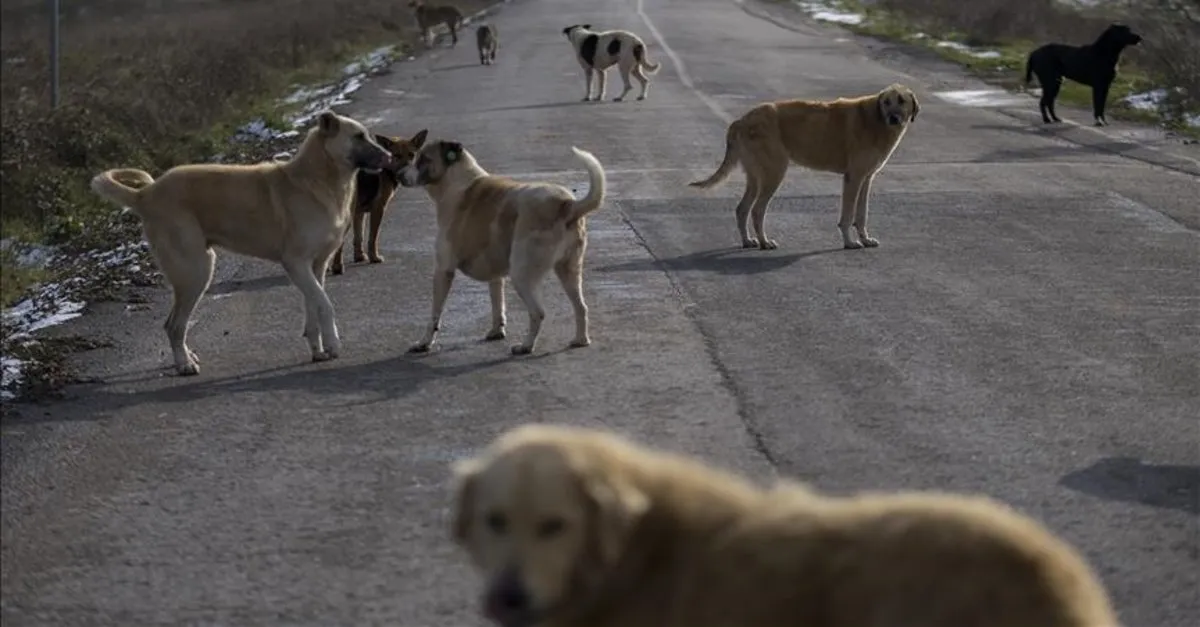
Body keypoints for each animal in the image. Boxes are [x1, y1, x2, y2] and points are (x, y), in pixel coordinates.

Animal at [91, 109, 398, 372]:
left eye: (367, 135)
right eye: (358, 136)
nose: (389, 158)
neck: (317, 179)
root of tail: (145, 194)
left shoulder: (315, 266)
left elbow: (313, 307)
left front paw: (318, 350)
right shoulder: (295, 263)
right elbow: (325, 304)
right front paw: (333, 344)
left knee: (176, 324)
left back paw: (187, 358)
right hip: (195, 271)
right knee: (174, 325)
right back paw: (184, 364)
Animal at [331, 129, 429, 273]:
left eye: (411, 155)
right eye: (397, 155)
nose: (406, 174)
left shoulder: (359, 213)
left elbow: (359, 236)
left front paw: (359, 256)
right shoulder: (378, 208)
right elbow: (373, 237)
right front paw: (374, 257)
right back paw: (337, 267)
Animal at [400, 142, 609, 355]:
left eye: (423, 159)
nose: (399, 174)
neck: (456, 180)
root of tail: (567, 204)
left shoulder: (443, 270)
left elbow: (435, 314)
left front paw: (424, 343)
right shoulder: (495, 273)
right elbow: (497, 303)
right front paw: (497, 331)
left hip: (522, 274)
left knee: (538, 312)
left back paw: (526, 346)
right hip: (569, 270)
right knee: (581, 307)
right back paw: (581, 340)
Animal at [691, 81, 921, 249]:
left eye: (901, 101)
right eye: (886, 102)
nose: (893, 118)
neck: (875, 120)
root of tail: (741, 120)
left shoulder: (866, 179)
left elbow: (862, 213)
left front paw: (865, 238)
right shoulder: (853, 178)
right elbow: (847, 215)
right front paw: (849, 242)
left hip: (756, 177)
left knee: (742, 209)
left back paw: (748, 241)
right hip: (774, 173)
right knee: (757, 210)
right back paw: (765, 242)